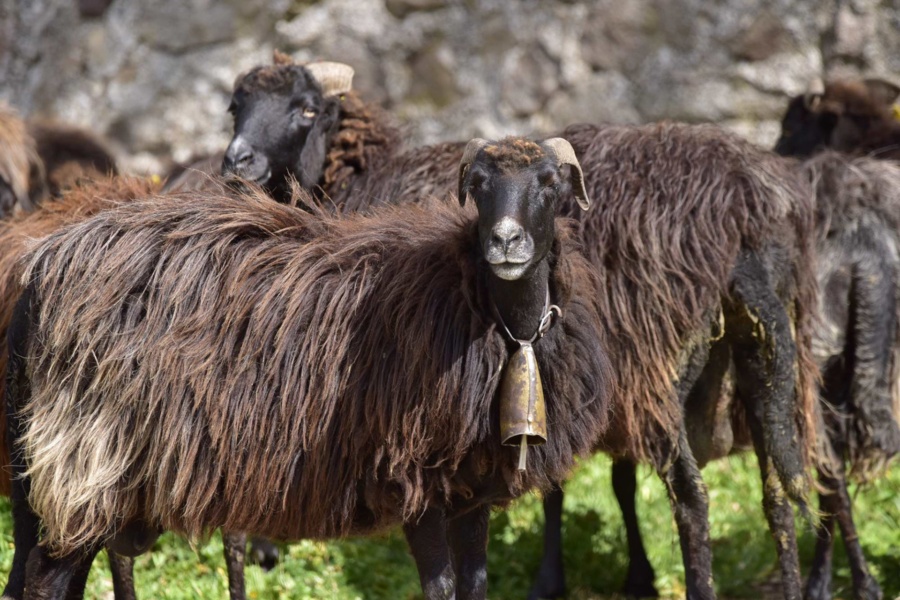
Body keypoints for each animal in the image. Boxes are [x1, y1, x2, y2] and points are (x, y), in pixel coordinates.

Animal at [5, 137, 609, 600]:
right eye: (479, 183)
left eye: (550, 183)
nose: (505, 242)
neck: (498, 321)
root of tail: (44, 265)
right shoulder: (413, 475)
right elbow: (438, 589)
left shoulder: (470, 489)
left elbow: (475, 587)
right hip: (87, 455)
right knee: (48, 578)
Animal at [528, 122, 823, 600]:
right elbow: (618, 480)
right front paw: (638, 575)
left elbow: (557, 485)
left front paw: (549, 581)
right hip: (765, 363)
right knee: (777, 492)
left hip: (662, 372)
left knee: (691, 496)